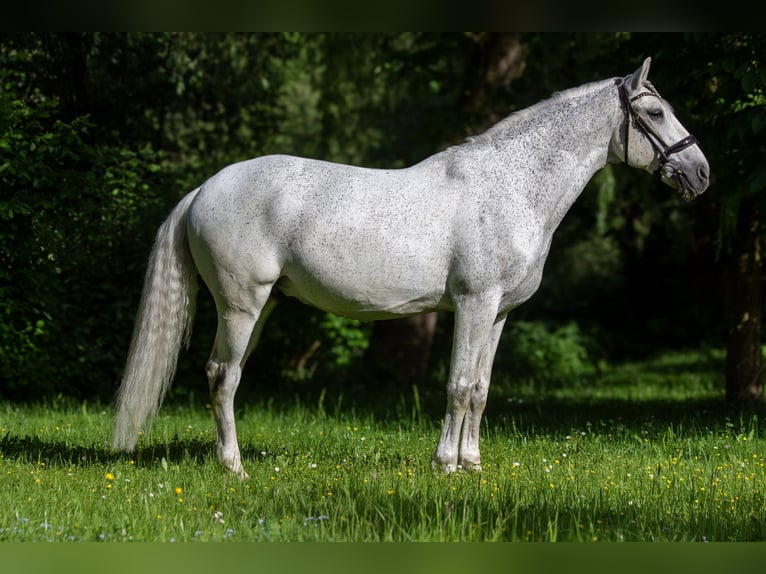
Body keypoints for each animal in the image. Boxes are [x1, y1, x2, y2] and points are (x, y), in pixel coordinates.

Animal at [111, 58, 712, 482]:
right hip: (241, 305)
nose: (700, 172)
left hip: (262, 307)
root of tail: (202, 189)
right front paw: (446, 464)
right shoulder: (473, 303)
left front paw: (473, 463)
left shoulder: (498, 314)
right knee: (221, 375)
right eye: (654, 114)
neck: (510, 186)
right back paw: (234, 468)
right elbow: (458, 384)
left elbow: (482, 388)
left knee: (228, 377)